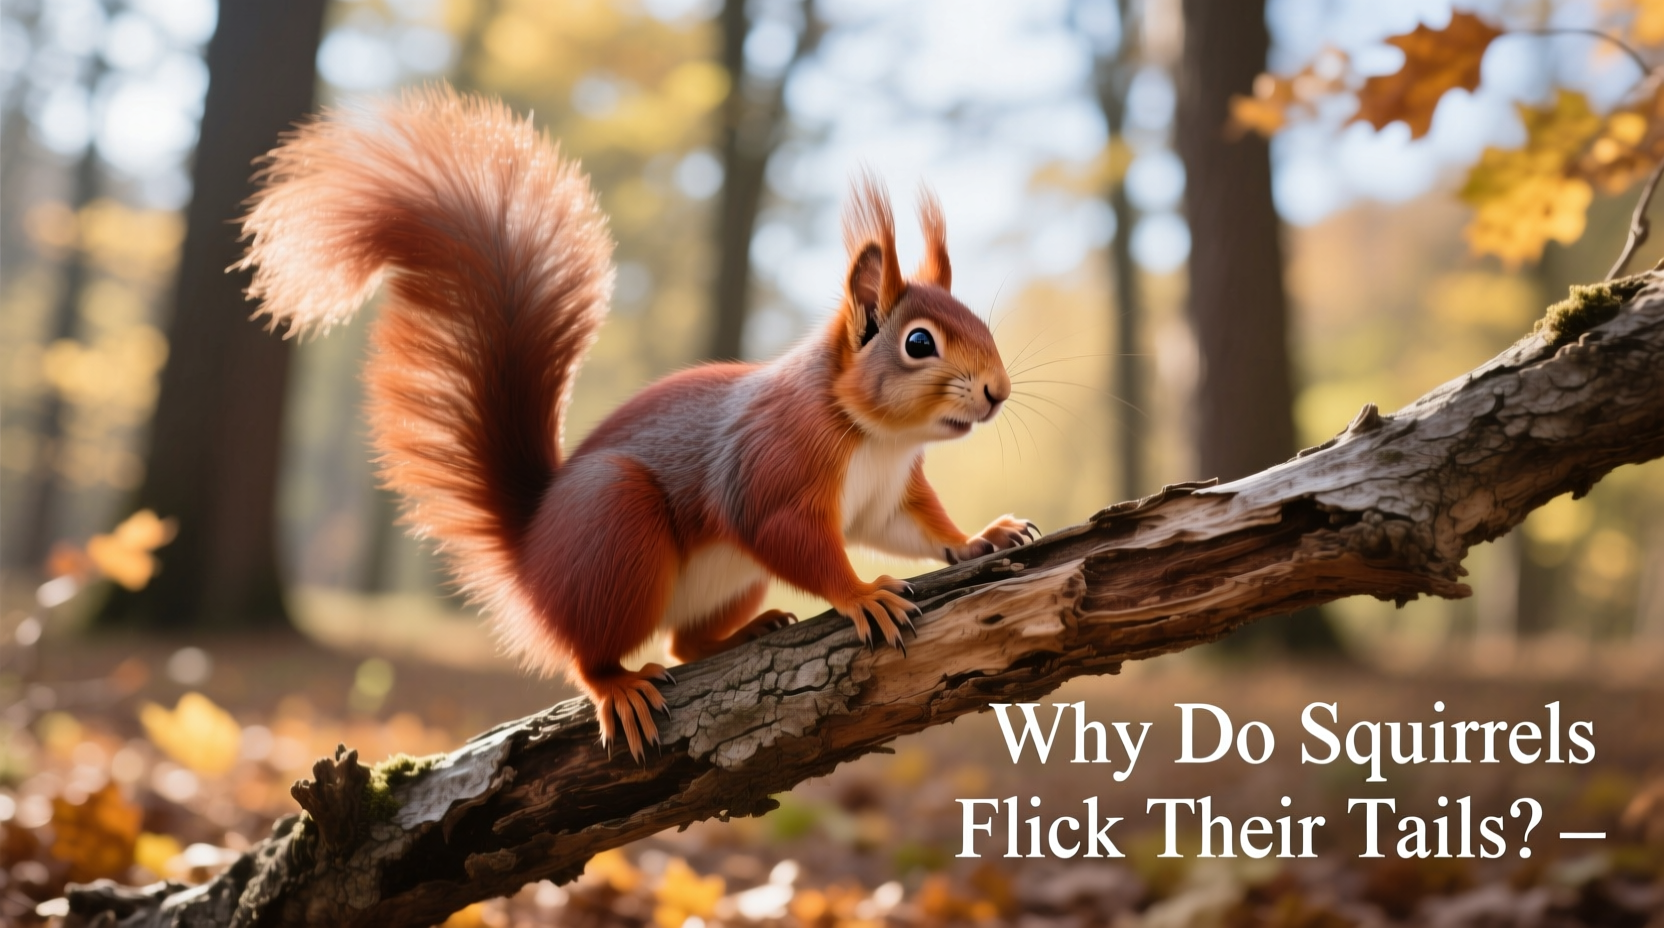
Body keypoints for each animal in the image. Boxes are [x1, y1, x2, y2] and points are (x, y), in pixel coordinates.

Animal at [237, 86, 1035, 759]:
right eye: (919, 343)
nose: (997, 391)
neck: (876, 438)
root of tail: (530, 557)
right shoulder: (774, 466)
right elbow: (791, 537)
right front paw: (862, 593)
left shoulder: (887, 494)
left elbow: (914, 528)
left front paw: (981, 537)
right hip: (616, 530)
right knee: (590, 653)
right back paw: (617, 684)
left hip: (729, 577)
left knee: (685, 644)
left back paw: (749, 630)